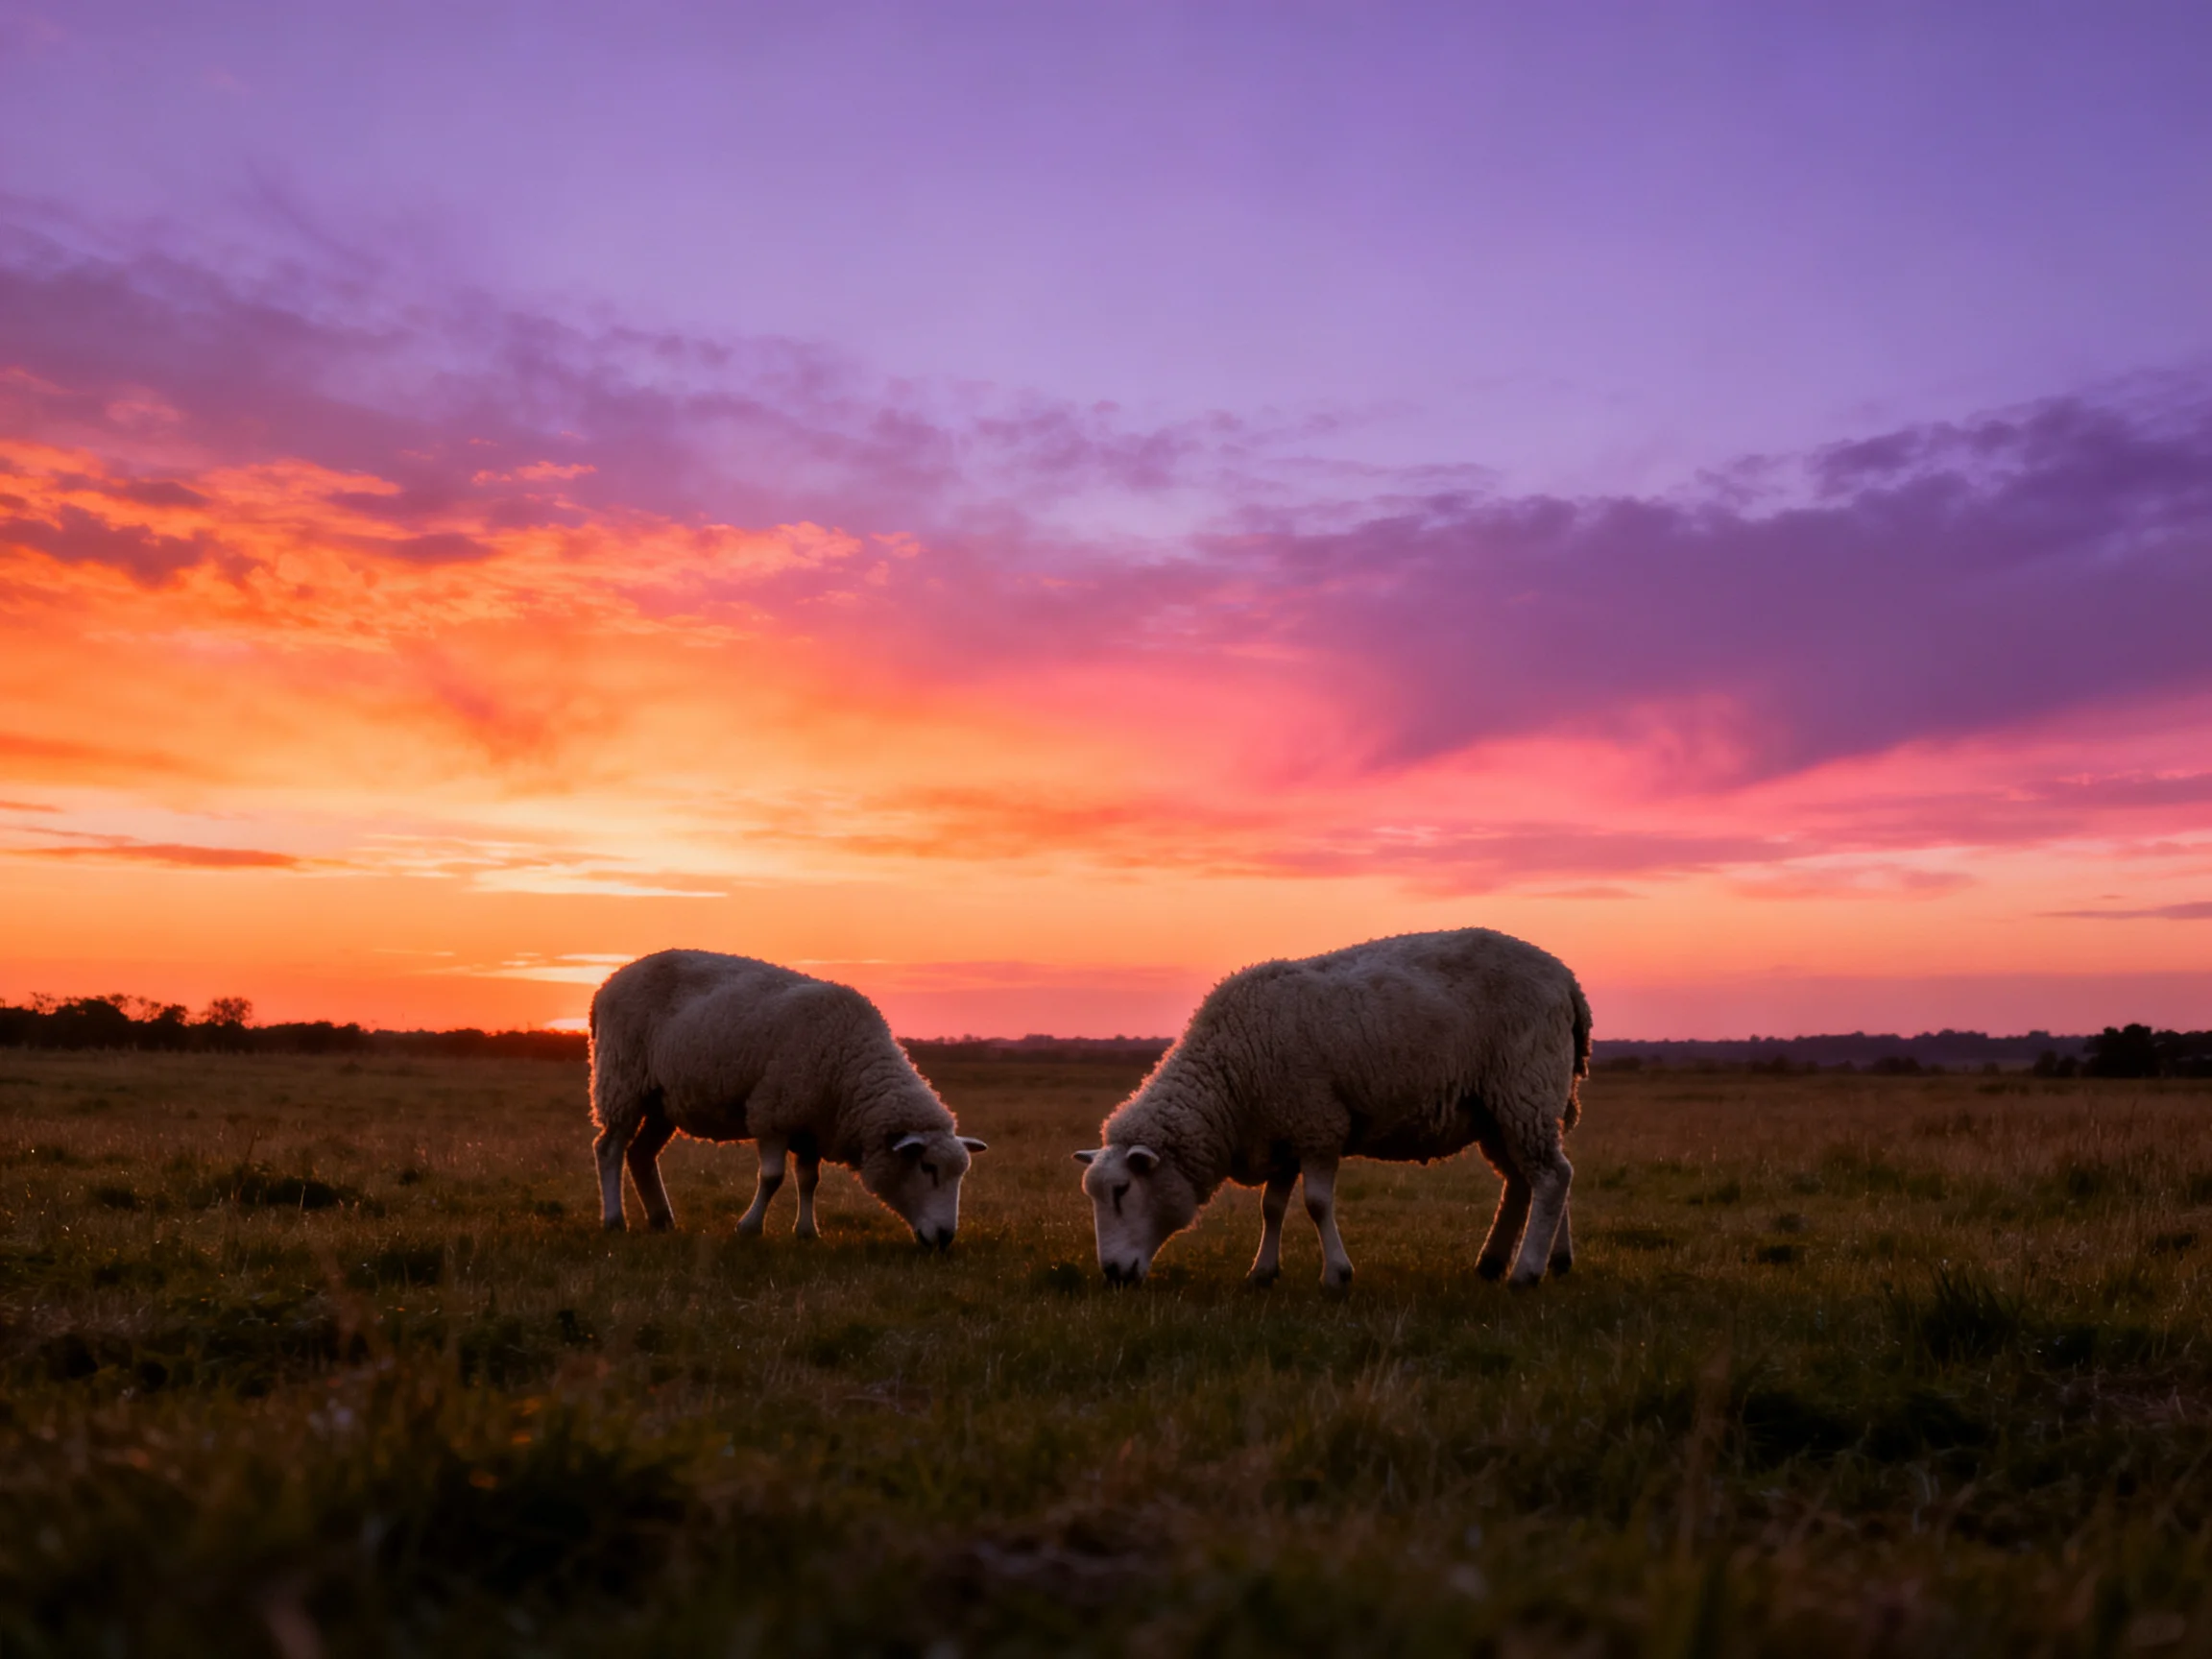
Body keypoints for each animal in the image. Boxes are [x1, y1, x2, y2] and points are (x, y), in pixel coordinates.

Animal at [589, 950, 987, 1247]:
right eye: (927, 1167)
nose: (945, 1238)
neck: (851, 1066)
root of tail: (608, 983)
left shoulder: (811, 1127)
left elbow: (809, 1180)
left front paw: (807, 1232)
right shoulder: (773, 1115)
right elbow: (772, 1177)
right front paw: (749, 1227)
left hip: (663, 1101)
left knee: (640, 1154)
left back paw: (661, 1219)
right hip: (622, 1080)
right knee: (609, 1148)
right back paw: (614, 1219)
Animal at [1074, 928, 1590, 1289]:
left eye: (1121, 1190)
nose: (1113, 1274)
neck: (1227, 1080)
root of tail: (1565, 977)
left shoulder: (1318, 1124)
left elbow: (1316, 1204)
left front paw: (1337, 1275)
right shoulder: (1283, 1134)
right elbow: (1272, 1207)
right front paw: (1262, 1272)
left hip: (1524, 1087)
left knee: (1551, 1177)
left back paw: (1526, 1272)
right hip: (1502, 1108)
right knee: (1525, 1181)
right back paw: (1502, 1262)